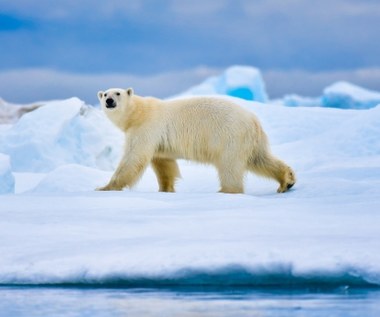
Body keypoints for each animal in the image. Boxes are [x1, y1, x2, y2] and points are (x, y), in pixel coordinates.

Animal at [96, 87, 296, 194]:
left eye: (118, 93)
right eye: (105, 94)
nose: (109, 101)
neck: (138, 112)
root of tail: (254, 121)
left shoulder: (146, 128)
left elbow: (133, 158)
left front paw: (104, 187)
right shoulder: (158, 140)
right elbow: (163, 164)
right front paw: (166, 189)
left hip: (229, 137)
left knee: (229, 166)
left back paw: (226, 190)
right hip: (250, 141)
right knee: (260, 159)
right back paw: (286, 181)